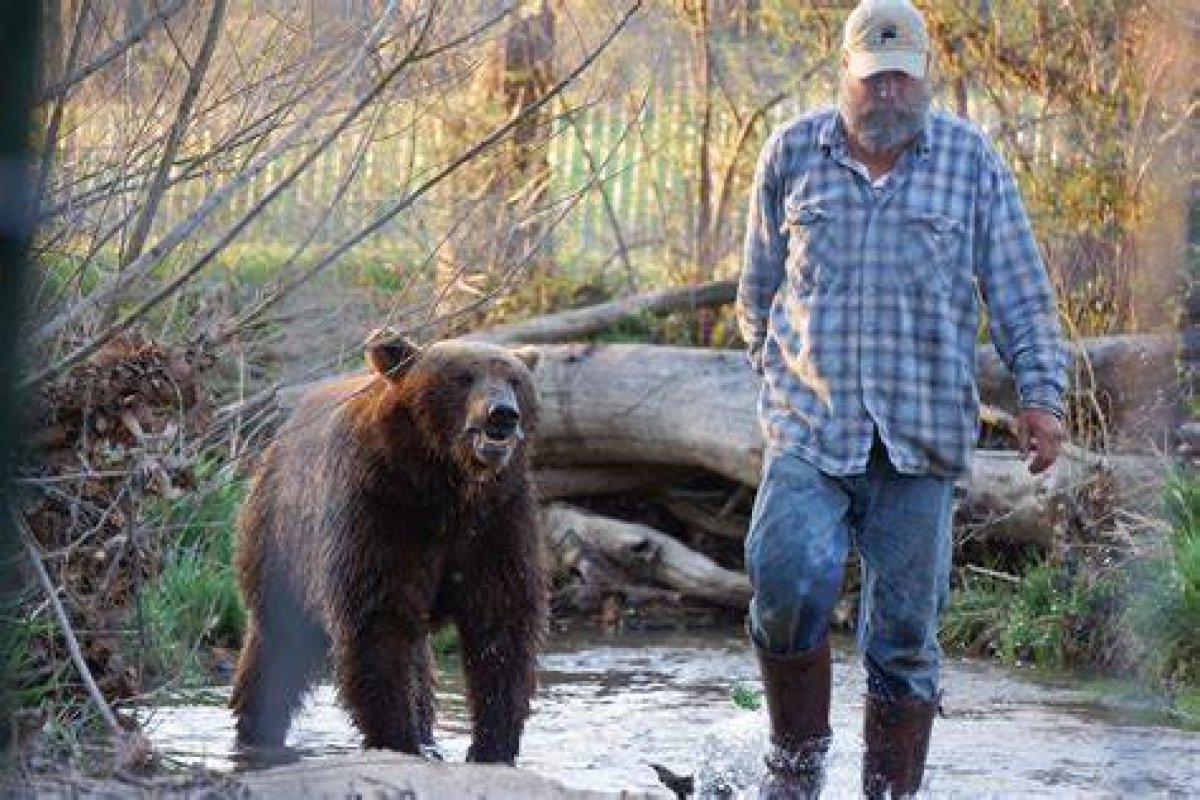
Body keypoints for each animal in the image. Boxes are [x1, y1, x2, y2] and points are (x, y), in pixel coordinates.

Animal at [229, 329, 545, 765]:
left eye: (515, 380)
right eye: (463, 377)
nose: (502, 414)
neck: (446, 485)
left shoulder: (496, 519)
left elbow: (501, 622)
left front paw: (492, 746)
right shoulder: (380, 506)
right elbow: (377, 618)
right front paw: (397, 738)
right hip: (281, 542)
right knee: (276, 647)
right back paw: (257, 729)